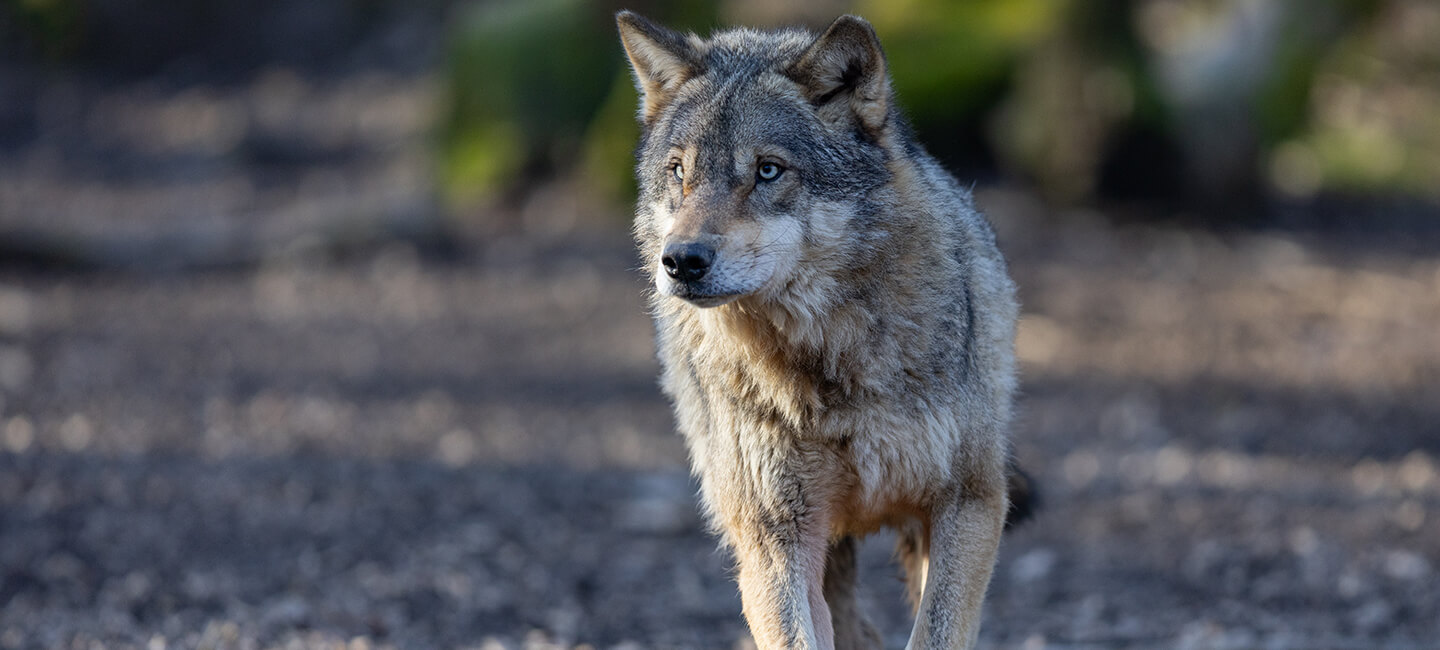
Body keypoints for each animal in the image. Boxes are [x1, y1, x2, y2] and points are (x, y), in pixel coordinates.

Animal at [619, 11, 1025, 650]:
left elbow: (935, 632)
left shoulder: (971, 501)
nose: (681, 261)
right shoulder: (774, 532)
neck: (825, 365)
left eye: (768, 171)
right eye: (678, 172)